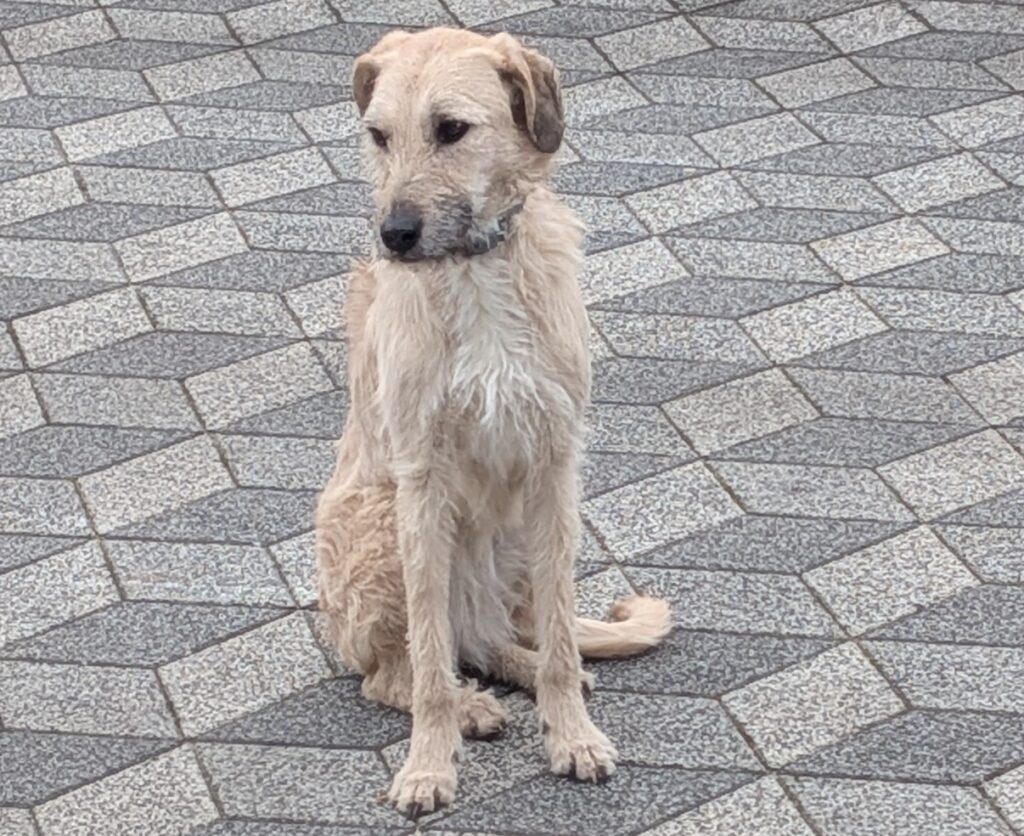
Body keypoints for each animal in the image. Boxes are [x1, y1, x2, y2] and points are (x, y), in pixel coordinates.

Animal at [315, 27, 672, 818]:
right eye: (378, 136)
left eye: (451, 129)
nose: (395, 233)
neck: (473, 272)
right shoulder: (421, 483)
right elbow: (425, 652)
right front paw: (428, 762)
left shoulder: (554, 467)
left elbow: (564, 632)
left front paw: (571, 731)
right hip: (376, 524)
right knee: (401, 667)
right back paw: (467, 704)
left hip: (516, 538)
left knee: (489, 638)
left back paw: (524, 671)